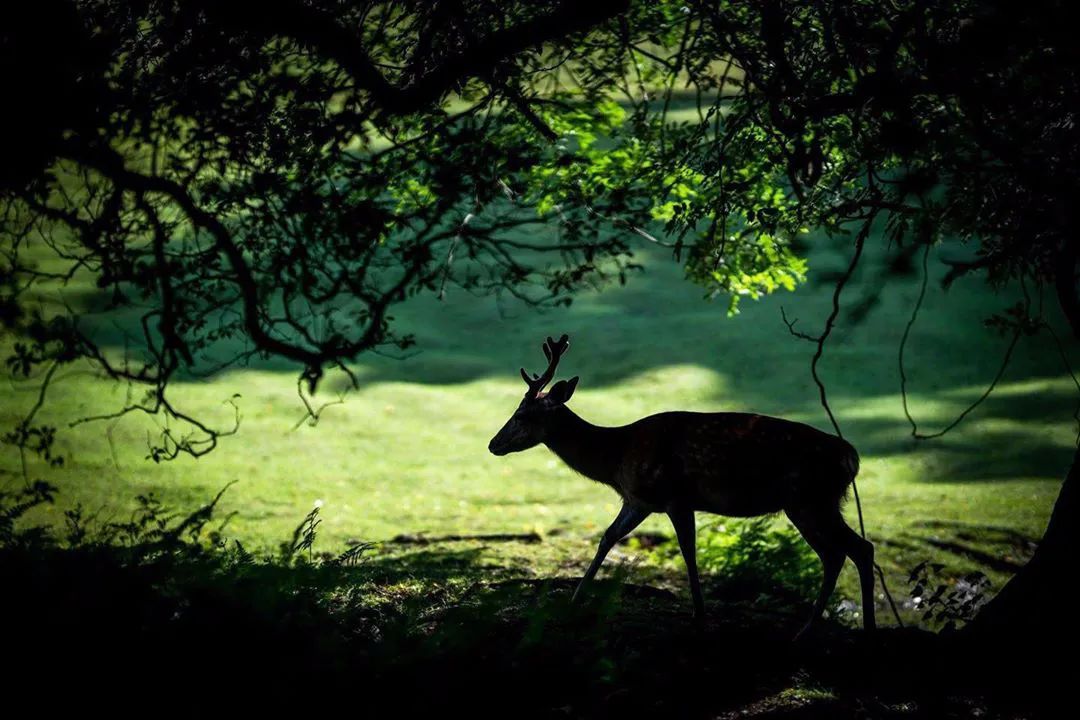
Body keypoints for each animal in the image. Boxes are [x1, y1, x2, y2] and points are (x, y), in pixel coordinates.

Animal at [490, 334, 876, 639]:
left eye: (521, 415)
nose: (493, 444)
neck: (616, 457)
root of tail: (852, 456)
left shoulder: (676, 496)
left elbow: (688, 551)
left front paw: (700, 613)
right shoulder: (638, 500)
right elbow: (607, 537)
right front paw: (575, 599)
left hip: (811, 498)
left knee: (856, 549)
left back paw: (846, 629)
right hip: (813, 502)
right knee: (839, 554)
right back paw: (818, 628)